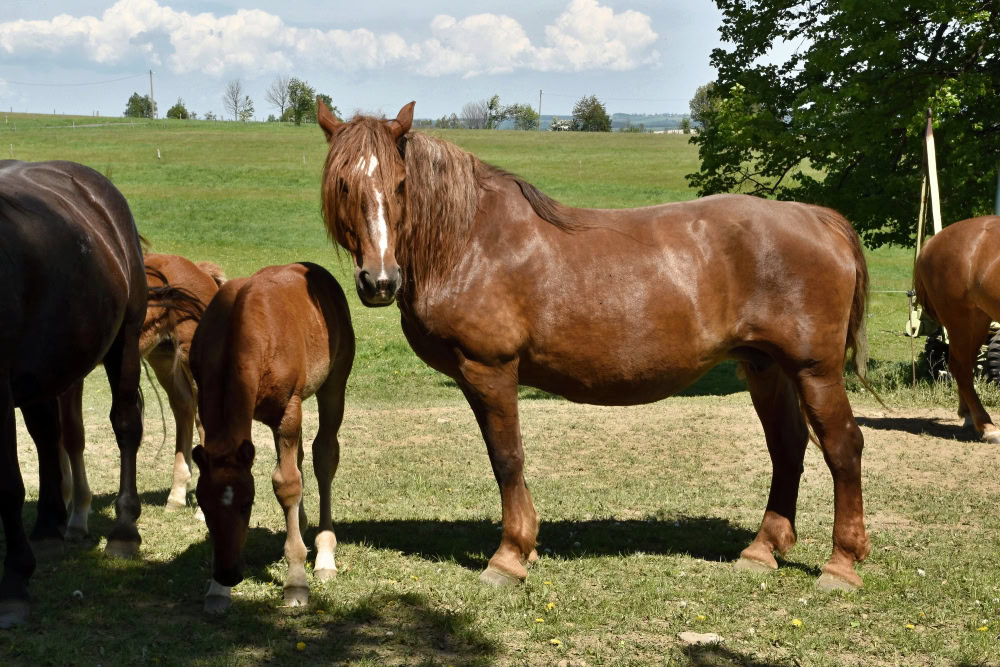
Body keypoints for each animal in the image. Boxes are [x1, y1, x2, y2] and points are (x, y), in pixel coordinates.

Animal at [0, 159, 147, 627]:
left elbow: (7, 485)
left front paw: (13, 585)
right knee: (49, 437)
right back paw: (48, 527)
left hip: (125, 342)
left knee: (125, 427)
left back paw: (124, 531)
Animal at [57, 253, 226, 541]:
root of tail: (201, 270)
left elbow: (72, 437)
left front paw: (77, 517)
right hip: (163, 356)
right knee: (183, 408)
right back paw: (176, 496)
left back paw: (203, 512)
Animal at [190, 262, 354, 613]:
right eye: (205, 508)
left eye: (248, 505)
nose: (227, 573)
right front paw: (216, 591)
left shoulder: (288, 410)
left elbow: (287, 483)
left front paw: (296, 582)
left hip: (334, 384)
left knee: (324, 456)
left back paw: (324, 555)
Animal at [315, 99, 873, 592]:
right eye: (343, 183)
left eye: (400, 183)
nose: (380, 280)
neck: (470, 242)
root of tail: (818, 219)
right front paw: (527, 546)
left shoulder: (490, 370)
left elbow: (507, 458)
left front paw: (509, 556)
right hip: (766, 367)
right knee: (787, 447)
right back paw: (762, 550)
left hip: (814, 370)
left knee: (843, 447)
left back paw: (841, 565)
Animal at [914, 215, 1000, 443]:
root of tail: (933, 242)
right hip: (959, 317)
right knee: (960, 366)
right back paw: (986, 425)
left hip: (978, 320)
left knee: (966, 365)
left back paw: (969, 416)